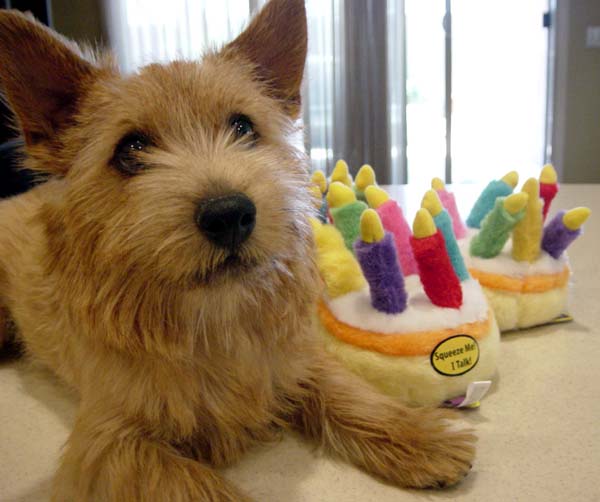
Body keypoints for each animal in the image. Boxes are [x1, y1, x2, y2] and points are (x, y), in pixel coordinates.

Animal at [0, 1, 475, 500]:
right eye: (130, 149)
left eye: (243, 126)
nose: (229, 214)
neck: (215, 319)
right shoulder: (107, 444)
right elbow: (190, 483)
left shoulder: (297, 358)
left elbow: (347, 391)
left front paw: (421, 436)